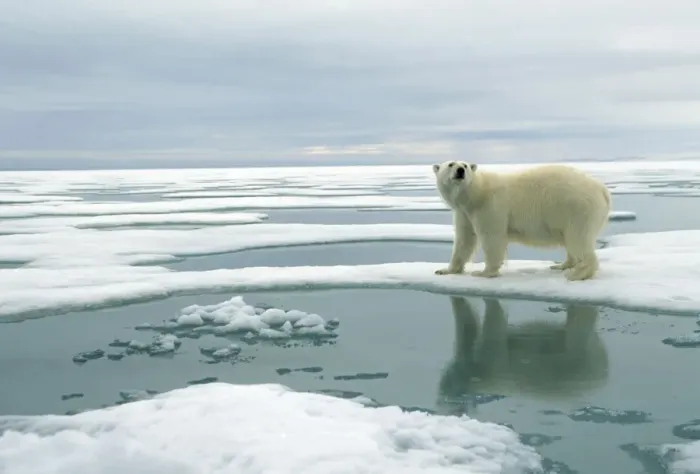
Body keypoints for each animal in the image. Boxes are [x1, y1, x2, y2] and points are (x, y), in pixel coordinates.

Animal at [432, 161, 611, 281]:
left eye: (466, 165)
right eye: (450, 164)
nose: (460, 170)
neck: (476, 194)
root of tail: (602, 190)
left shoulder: (490, 207)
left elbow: (492, 237)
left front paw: (483, 272)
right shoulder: (464, 213)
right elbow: (464, 239)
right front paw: (445, 270)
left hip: (577, 208)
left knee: (578, 238)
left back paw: (577, 274)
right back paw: (562, 265)